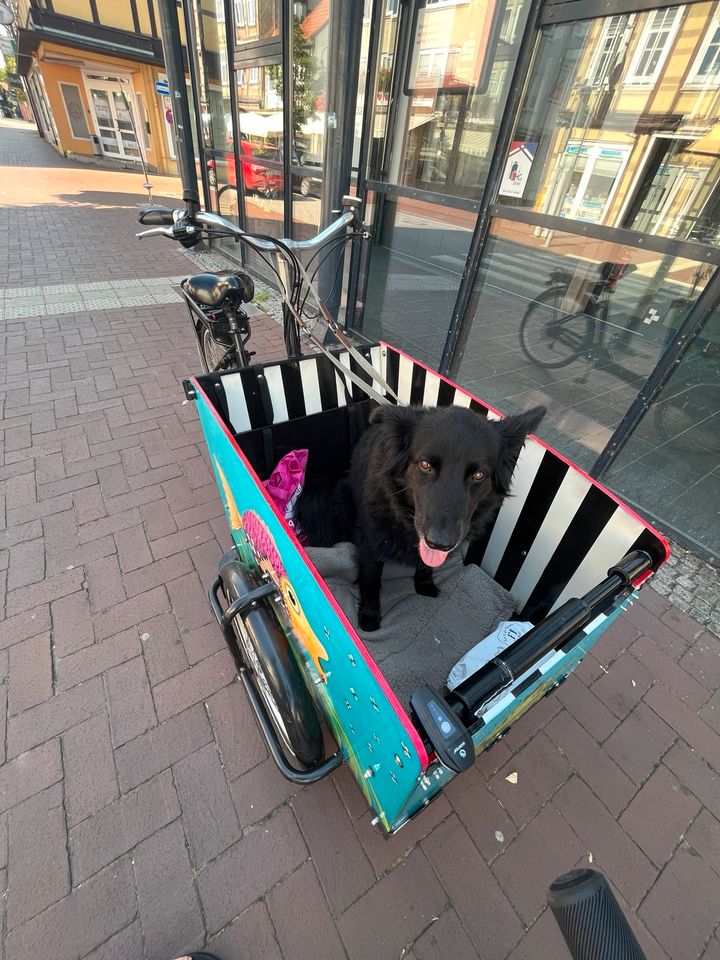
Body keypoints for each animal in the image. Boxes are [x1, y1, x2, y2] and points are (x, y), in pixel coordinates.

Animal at [344, 404, 544, 632]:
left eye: (479, 475)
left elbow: (426, 564)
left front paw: (424, 584)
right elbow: (371, 580)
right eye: (425, 464)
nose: (440, 543)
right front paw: (370, 614)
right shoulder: (371, 543)